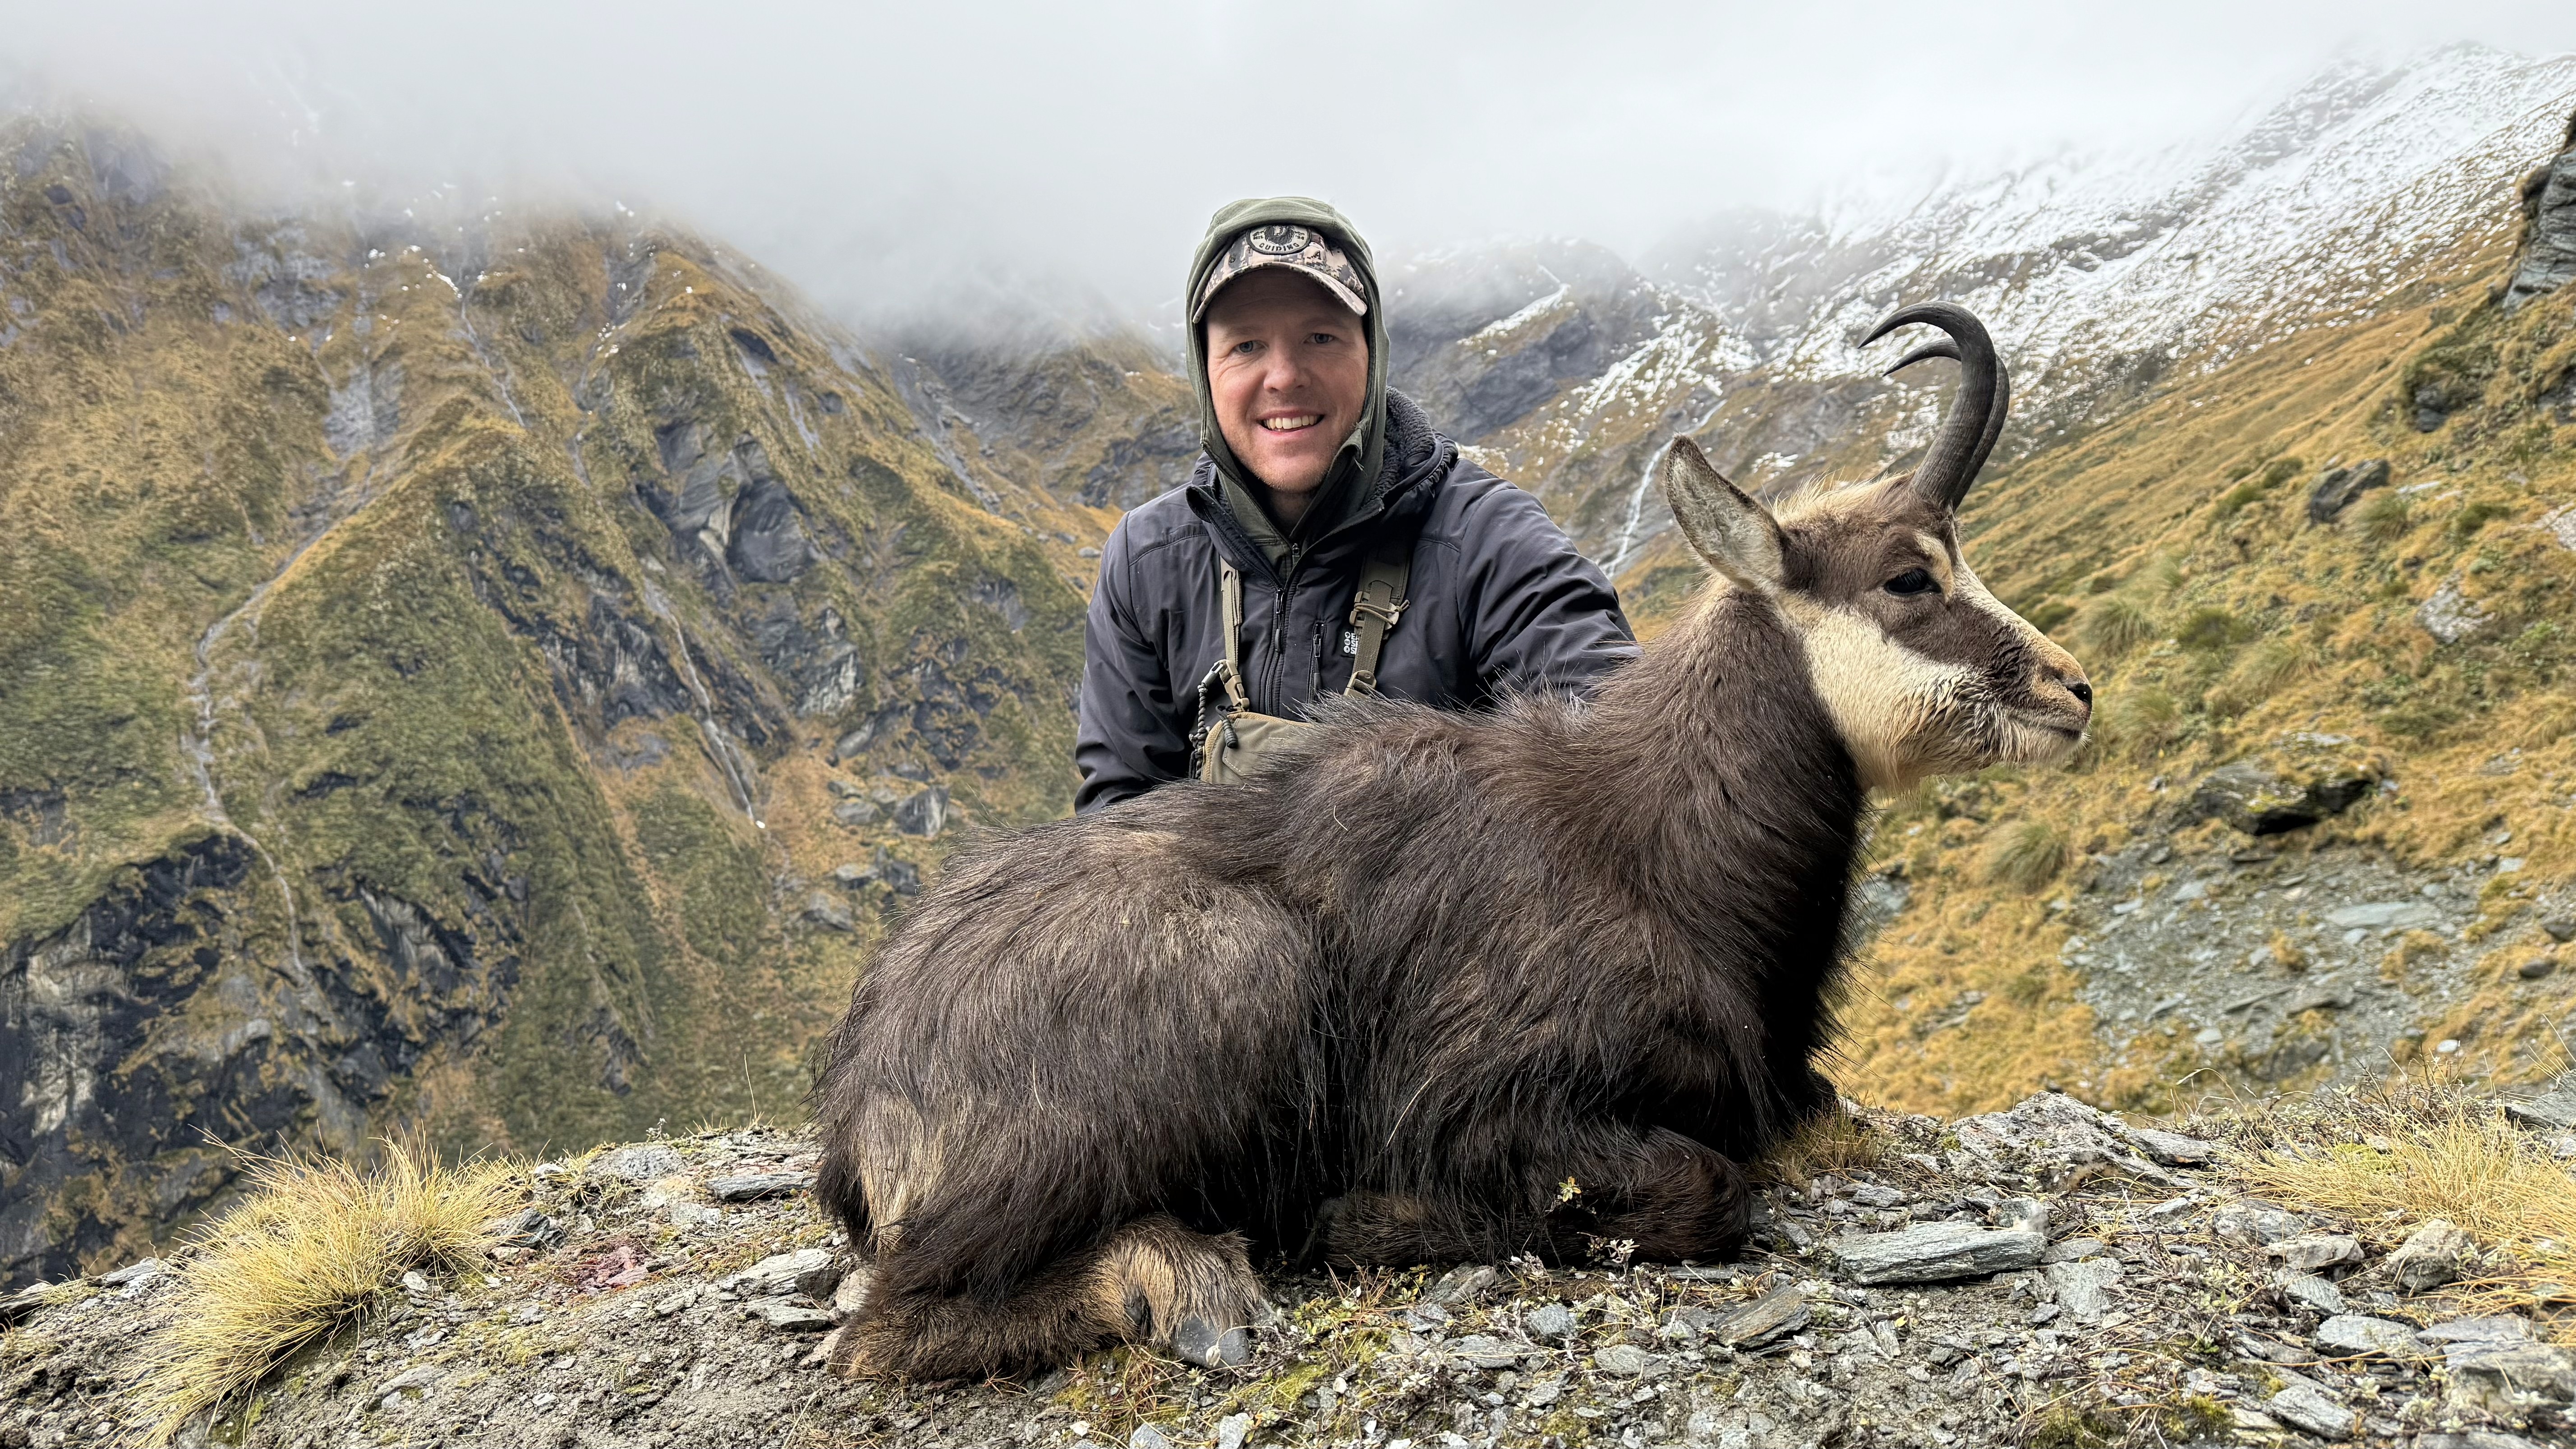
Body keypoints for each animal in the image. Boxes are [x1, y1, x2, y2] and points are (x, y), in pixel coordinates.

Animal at [812, 301, 2093, 1380]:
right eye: (1909, 577)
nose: (2075, 689)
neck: (1652, 845)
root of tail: (864, 1092)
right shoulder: (1495, 1093)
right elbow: (1702, 1186)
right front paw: (1368, 1220)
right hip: (1239, 973)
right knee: (885, 1325)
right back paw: (1179, 1278)